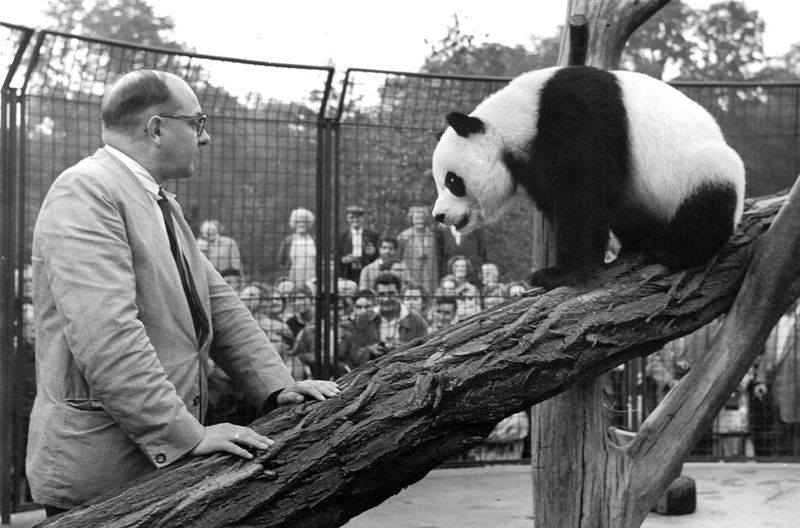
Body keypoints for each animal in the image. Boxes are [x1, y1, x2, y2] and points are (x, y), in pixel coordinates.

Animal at [434, 66, 748, 288]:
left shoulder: (577, 115)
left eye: (452, 181)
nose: (439, 216)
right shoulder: (534, 163)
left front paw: (558, 273)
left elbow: (582, 193)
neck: (520, 116)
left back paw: (667, 250)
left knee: (706, 205)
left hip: (698, 169)